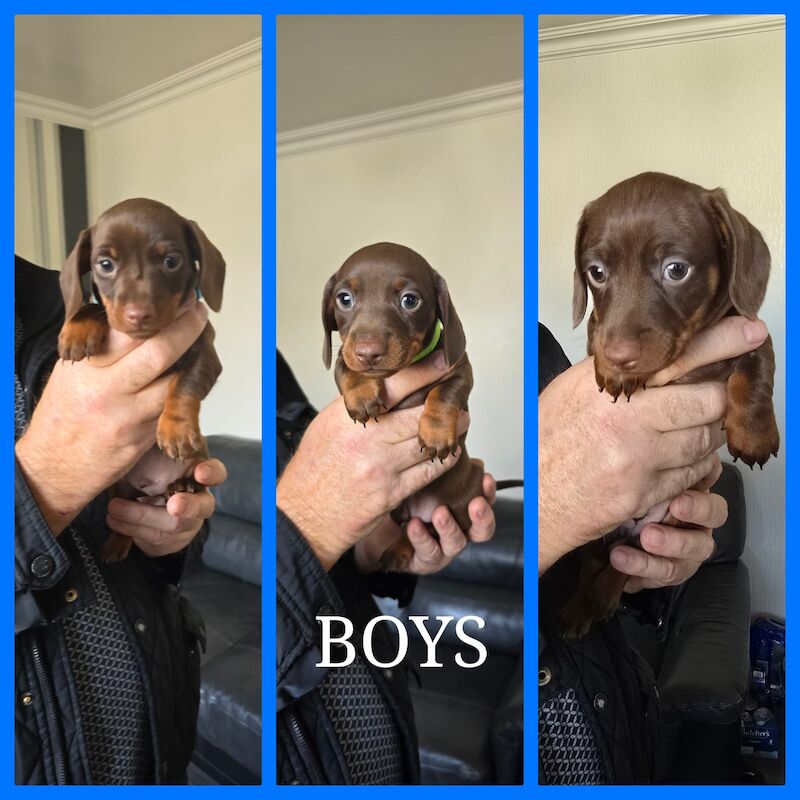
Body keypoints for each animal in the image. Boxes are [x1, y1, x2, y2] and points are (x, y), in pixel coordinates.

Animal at [58, 198, 225, 564]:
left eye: (171, 261)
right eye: (105, 264)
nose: (138, 315)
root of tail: (155, 489)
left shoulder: (205, 355)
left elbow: (184, 383)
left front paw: (175, 428)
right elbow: (94, 307)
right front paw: (76, 328)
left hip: (199, 459)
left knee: (196, 478)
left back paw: (185, 486)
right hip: (118, 489)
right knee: (125, 514)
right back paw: (117, 544)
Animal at [560, 173, 780, 636]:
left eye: (676, 269)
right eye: (596, 272)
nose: (621, 356)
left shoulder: (750, 331)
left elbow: (755, 368)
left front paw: (753, 434)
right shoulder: (599, 330)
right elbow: (596, 331)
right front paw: (614, 370)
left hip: (667, 524)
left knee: (625, 563)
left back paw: (600, 598)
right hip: (595, 535)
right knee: (596, 563)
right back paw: (579, 608)